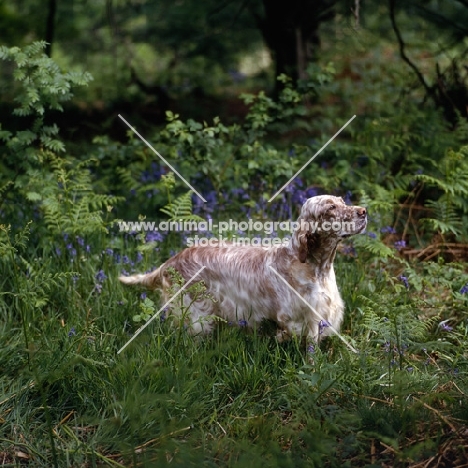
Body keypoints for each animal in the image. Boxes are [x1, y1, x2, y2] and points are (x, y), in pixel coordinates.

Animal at [119, 196, 366, 342]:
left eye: (342, 200)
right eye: (331, 207)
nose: (363, 211)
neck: (315, 267)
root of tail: (170, 261)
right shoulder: (302, 317)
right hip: (196, 311)